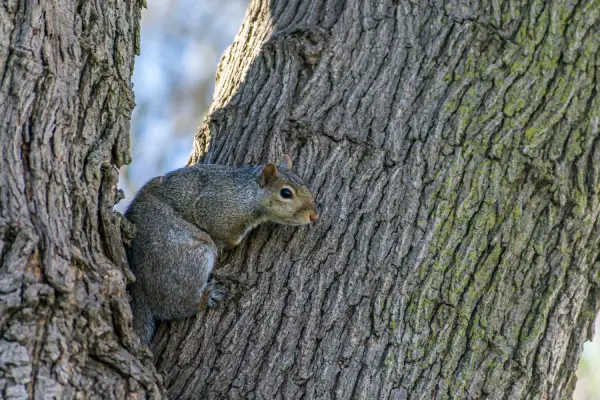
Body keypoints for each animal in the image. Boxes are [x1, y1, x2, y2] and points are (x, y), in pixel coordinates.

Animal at [122, 154, 318, 344]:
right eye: (286, 193)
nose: (314, 216)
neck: (248, 194)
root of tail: (140, 286)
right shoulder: (218, 211)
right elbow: (228, 237)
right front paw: (230, 244)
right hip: (188, 252)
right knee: (174, 306)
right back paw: (205, 298)